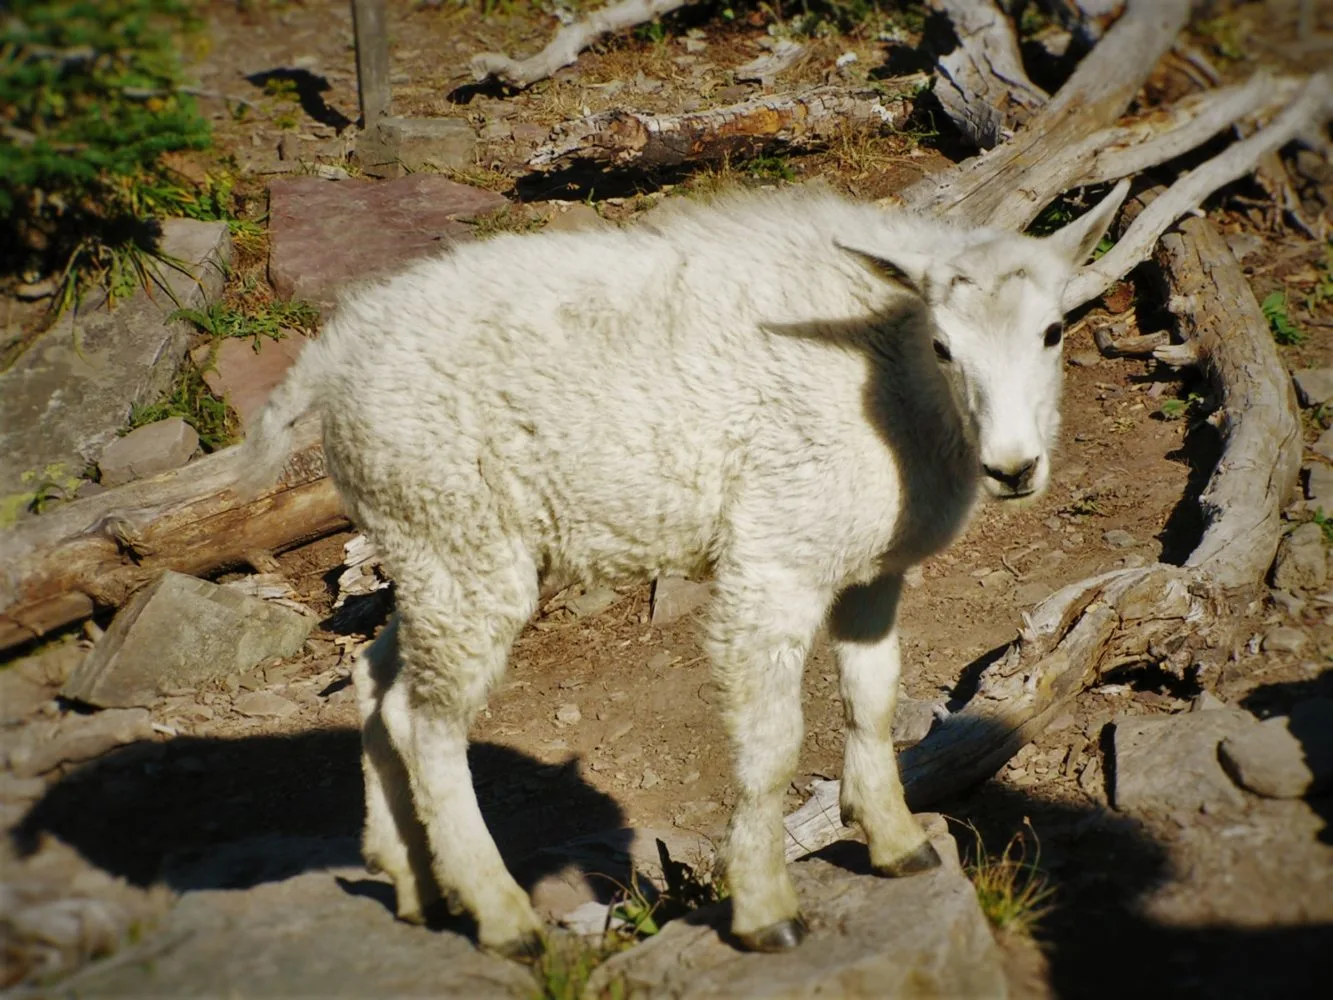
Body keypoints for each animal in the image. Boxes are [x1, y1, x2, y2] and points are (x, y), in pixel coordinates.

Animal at [237, 184, 1125, 960]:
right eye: (945, 346)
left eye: (1052, 331)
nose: (1013, 468)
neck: (892, 381)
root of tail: (332, 358)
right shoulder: (775, 554)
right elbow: (771, 744)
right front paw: (764, 910)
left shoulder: (870, 568)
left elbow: (870, 703)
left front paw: (897, 842)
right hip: (456, 533)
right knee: (428, 723)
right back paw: (501, 916)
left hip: (427, 542)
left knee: (379, 680)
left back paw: (414, 883)